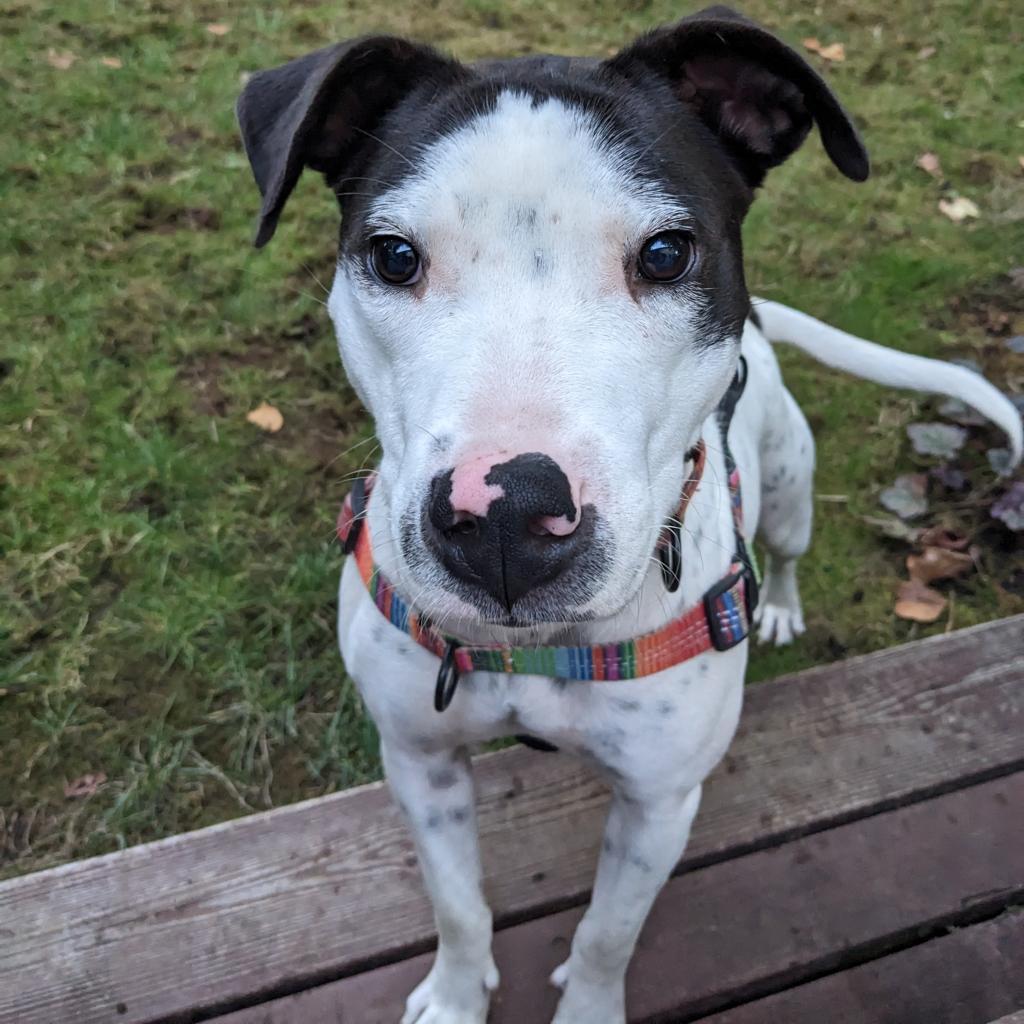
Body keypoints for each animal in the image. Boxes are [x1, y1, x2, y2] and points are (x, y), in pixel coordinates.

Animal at [235, 9, 1019, 1024]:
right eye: (394, 256)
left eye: (665, 254)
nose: (506, 518)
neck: (541, 649)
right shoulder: (419, 760)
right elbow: (458, 906)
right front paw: (455, 996)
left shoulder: (659, 802)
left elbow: (608, 932)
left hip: (791, 487)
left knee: (787, 549)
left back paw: (778, 607)